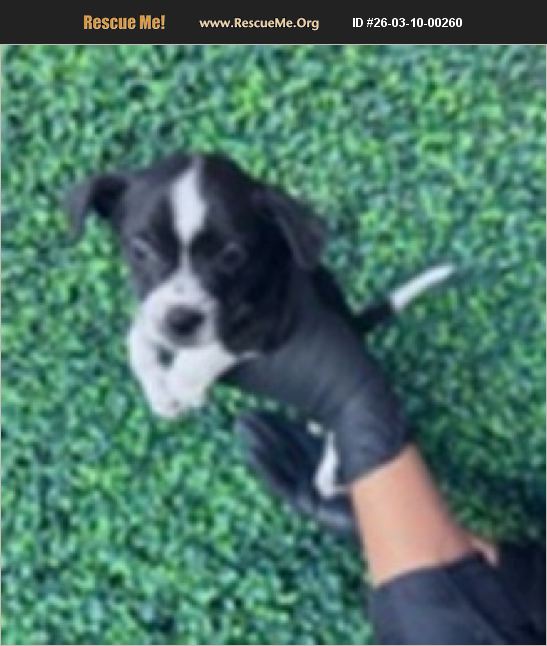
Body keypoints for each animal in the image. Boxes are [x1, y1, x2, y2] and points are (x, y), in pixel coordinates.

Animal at [66, 152, 453, 499]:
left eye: (232, 256)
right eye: (140, 249)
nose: (181, 321)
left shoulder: (272, 320)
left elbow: (216, 345)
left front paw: (182, 384)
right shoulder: (154, 312)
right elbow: (138, 338)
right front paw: (158, 390)